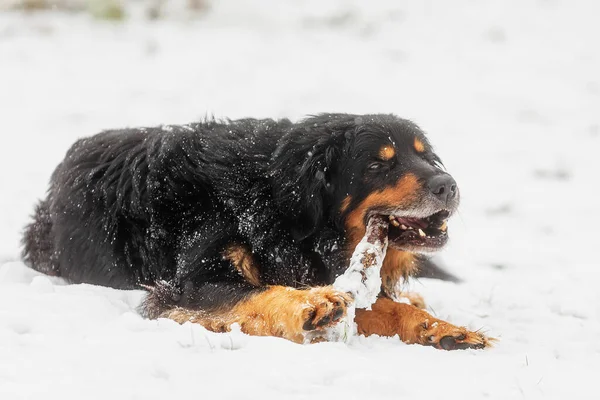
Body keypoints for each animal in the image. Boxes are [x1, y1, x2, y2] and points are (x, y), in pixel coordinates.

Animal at [23, 113, 492, 350]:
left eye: (424, 156)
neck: (280, 207)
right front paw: (310, 304)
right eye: (379, 164)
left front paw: (442, 328)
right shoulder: (182, 287)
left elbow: (386, 308)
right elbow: (256, 293)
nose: (448, 185)